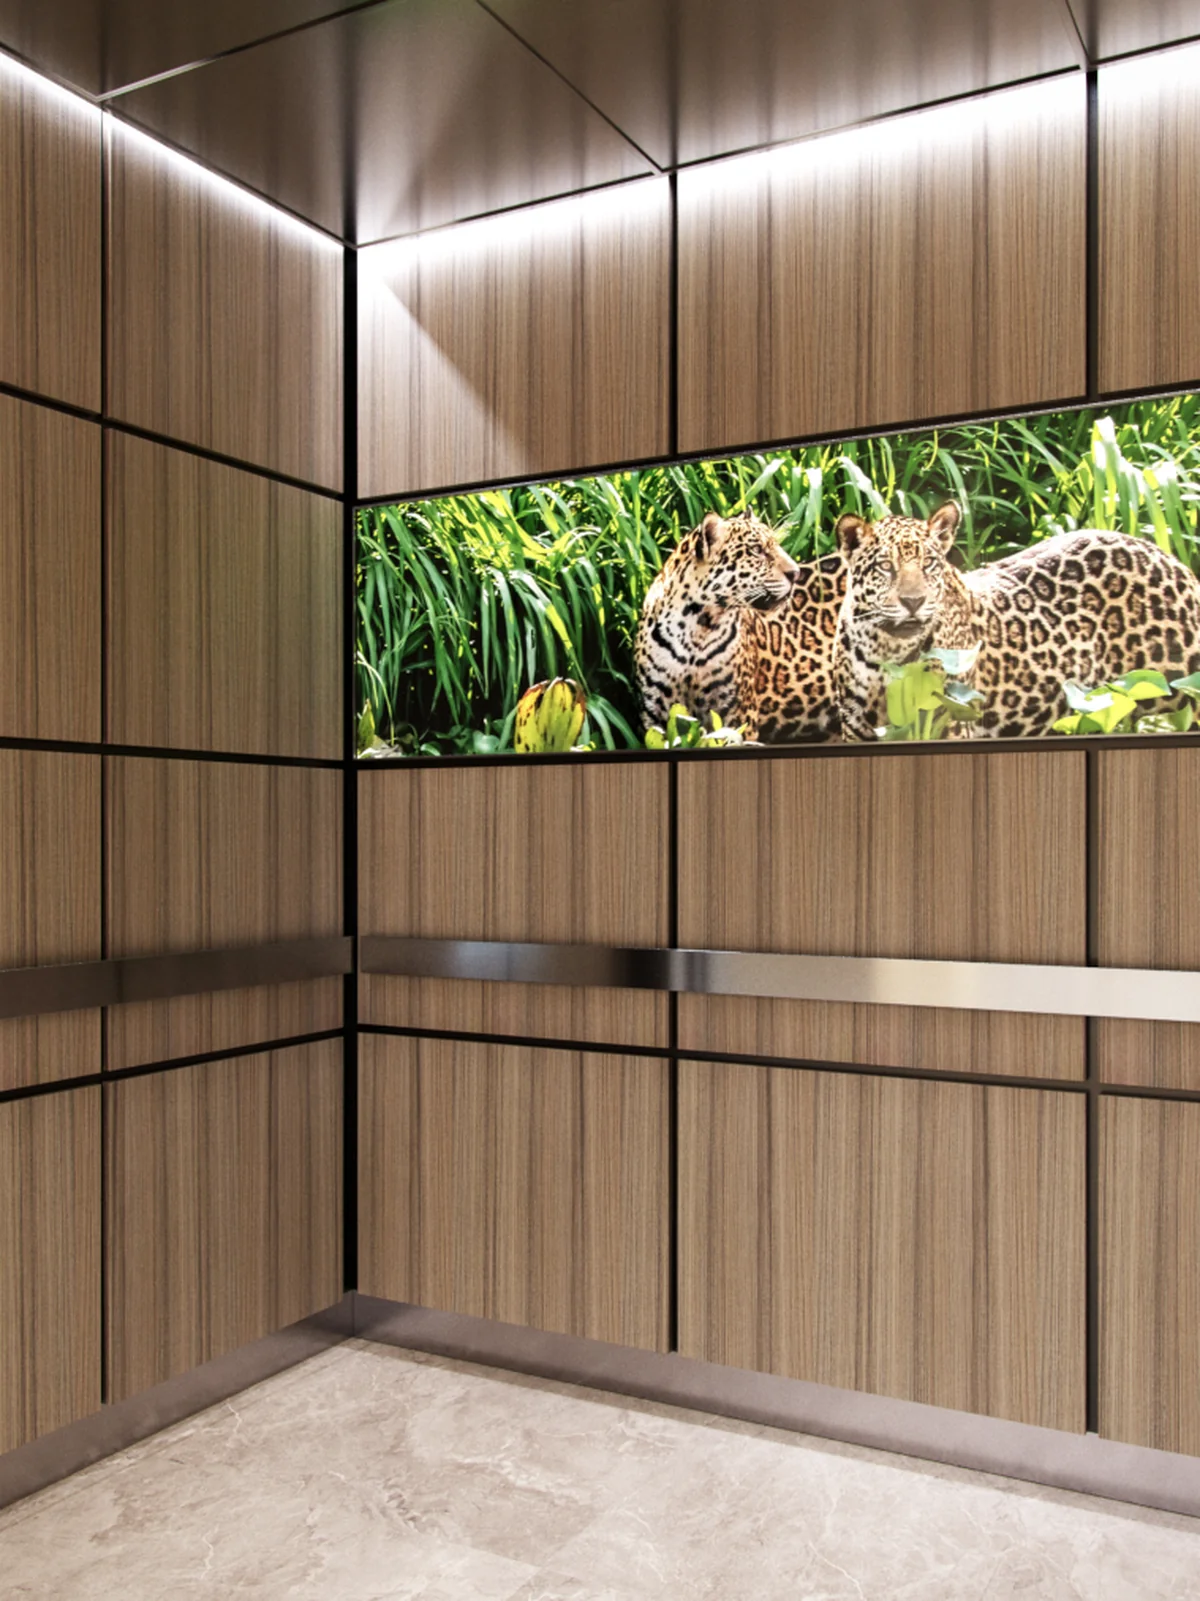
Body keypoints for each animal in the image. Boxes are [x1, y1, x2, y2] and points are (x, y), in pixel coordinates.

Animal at [833, 499, 1200, 741]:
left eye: (929, 565)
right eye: (885, 567)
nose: (914, 602)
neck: (887, 651)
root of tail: (1168, 558)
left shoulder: (949, 717)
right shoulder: (857, 724)